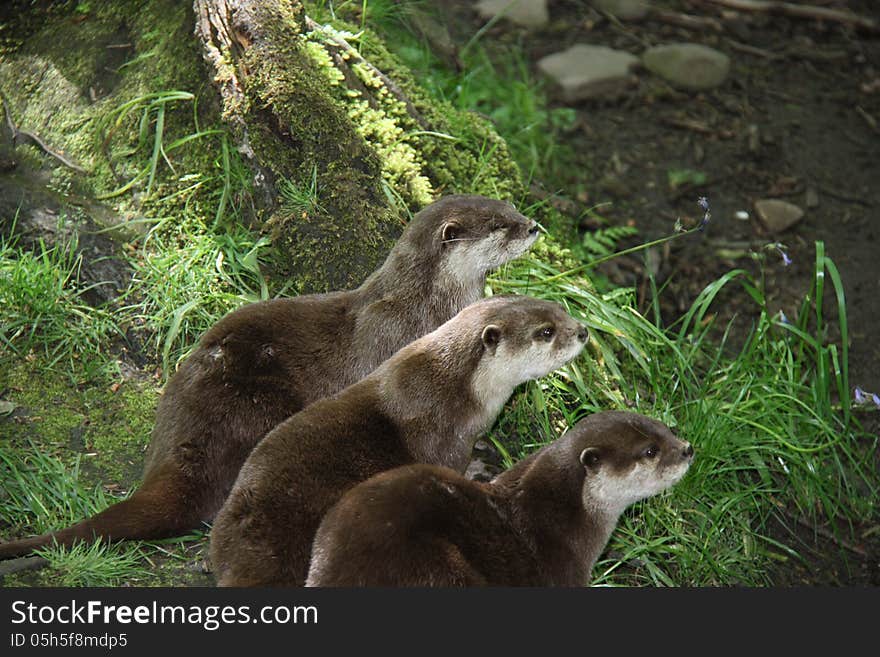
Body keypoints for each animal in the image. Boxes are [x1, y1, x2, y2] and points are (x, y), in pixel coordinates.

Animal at [210, 294, 588, 588]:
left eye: (560, 309)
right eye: (546, 332)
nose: (583, 331)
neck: (455, 392)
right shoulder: (444, 439)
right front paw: (480, 468)